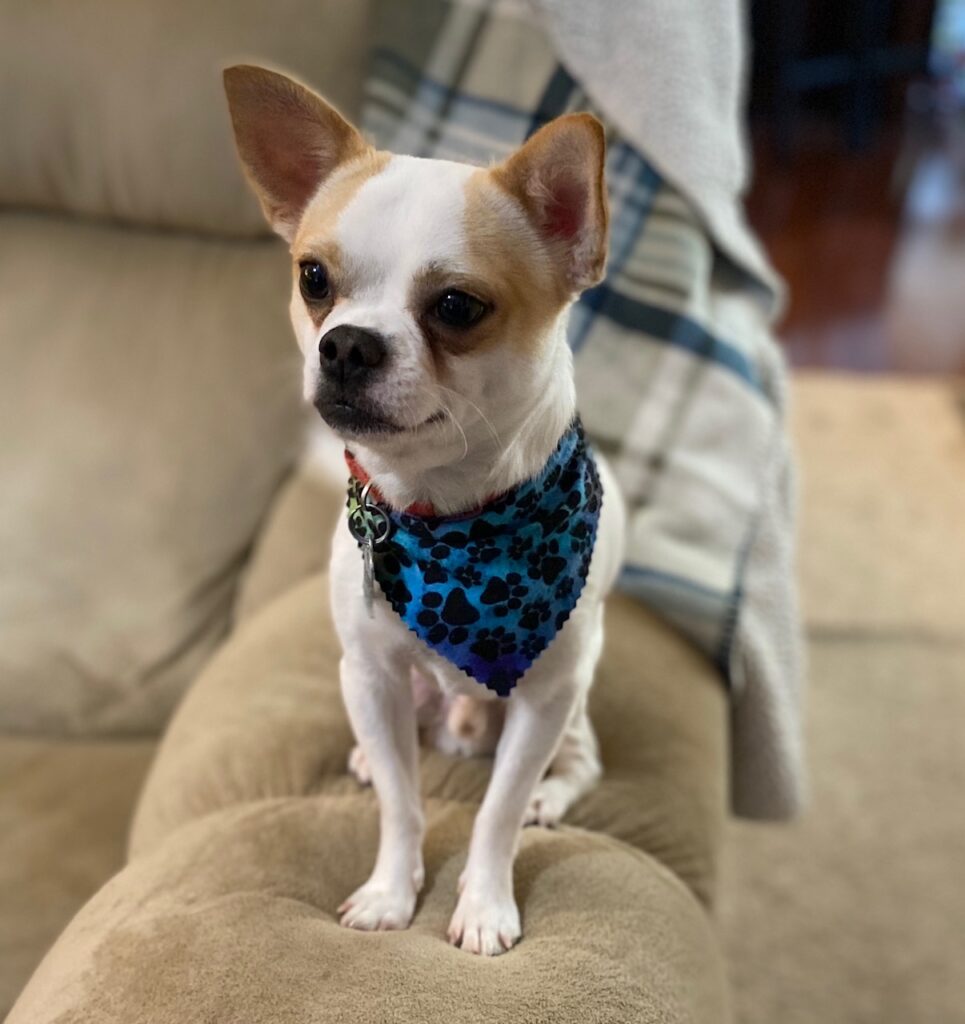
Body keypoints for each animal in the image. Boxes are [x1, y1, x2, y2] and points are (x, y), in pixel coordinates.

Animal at [223, 66, 622, 958]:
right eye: (313, 279)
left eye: (457, 307)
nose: (344, 343)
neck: (440, 517)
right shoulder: (370, 677)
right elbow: (403, 808)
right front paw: (388, 891)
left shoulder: (544, 699)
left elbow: (495, 815)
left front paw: (485, 904)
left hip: (577, 696)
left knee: (579, 764)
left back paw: (549, 794)